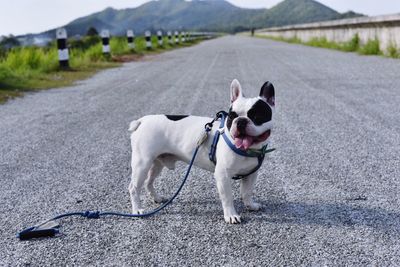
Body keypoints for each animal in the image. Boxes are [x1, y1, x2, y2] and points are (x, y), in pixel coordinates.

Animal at [128, 79, 276, 224]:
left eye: (257, 117)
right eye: (232, 116)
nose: (240, 121)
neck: (247, 150)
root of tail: (142, 120)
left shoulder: (251, 174)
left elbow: (247, 192)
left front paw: (250, 205)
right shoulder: (222, 176)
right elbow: (227, 198)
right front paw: (231, 215)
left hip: (157, 163)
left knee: (149, 182)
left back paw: (157, 198)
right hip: (142, 163)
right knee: (134, 188)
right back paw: (137, 210)